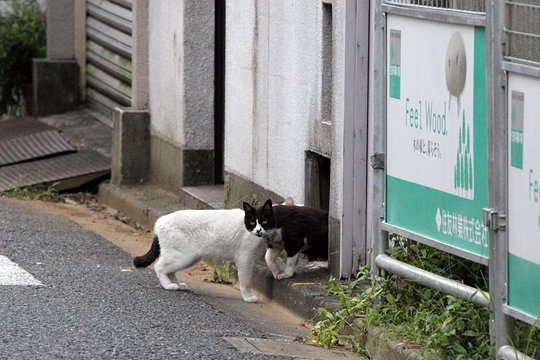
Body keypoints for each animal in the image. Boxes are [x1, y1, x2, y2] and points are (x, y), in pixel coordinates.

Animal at [132, 208, 264, 300]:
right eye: (255, 222)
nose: (259, 230)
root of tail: (160, 220)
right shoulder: (245, 258)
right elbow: (246, 281)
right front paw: (248, 297)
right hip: (182, 257)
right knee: (159, 267)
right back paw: (169, 285)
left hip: (187, 258)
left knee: (169, 271)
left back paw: (177, 284)